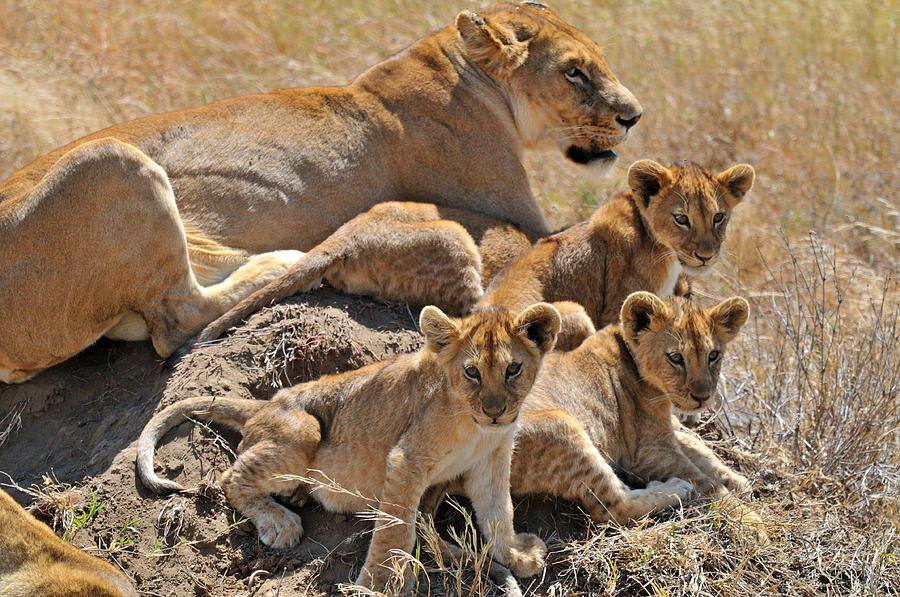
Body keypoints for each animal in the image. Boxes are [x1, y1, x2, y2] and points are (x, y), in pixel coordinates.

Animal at [0, 1, 640, 382]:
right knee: (176, 321)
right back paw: (275, 261)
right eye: (575, 73)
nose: (634, 116)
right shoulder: (520, 220)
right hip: (112, 160)